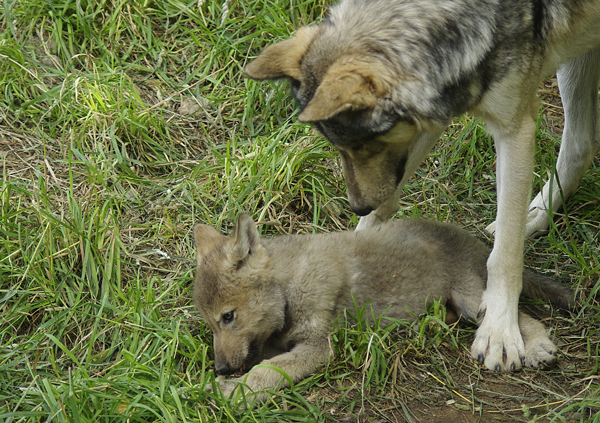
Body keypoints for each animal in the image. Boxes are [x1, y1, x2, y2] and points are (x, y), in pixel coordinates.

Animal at [195, 215, 576, 400]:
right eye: (211, 324)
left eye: (228, 316)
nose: (221, 368)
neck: (289, 287)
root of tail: (477, 244)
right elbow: (265, 361)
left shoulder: (320, 346)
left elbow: (268, 371)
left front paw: (233, 393)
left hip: (473, 301)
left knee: (514, 315)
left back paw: (537, 346)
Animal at [245, 0, 600, 372]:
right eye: (337, 148)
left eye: (363, 144)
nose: (357, 205)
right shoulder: (437, 109)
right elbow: (378, 217)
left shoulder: (514, 127)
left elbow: (504, 253)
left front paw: (500, 332)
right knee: (584, 142)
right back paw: (536, 215)